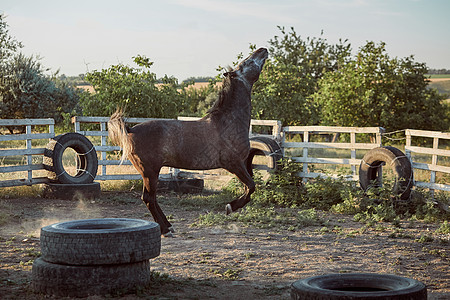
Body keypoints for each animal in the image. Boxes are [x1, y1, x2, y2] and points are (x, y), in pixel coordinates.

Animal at [108, 48, 268, 237]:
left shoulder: (241, 164)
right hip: (149, 172)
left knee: (151, 198)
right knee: (148, 198)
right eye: (246, 63)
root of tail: (131, 129)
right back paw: (165, 230)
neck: (228, 122)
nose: (263, 50)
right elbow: (251, 187)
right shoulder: (233, 164)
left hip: (149, 173)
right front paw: (230, 207)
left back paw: (169, 226)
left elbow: (248, 188)